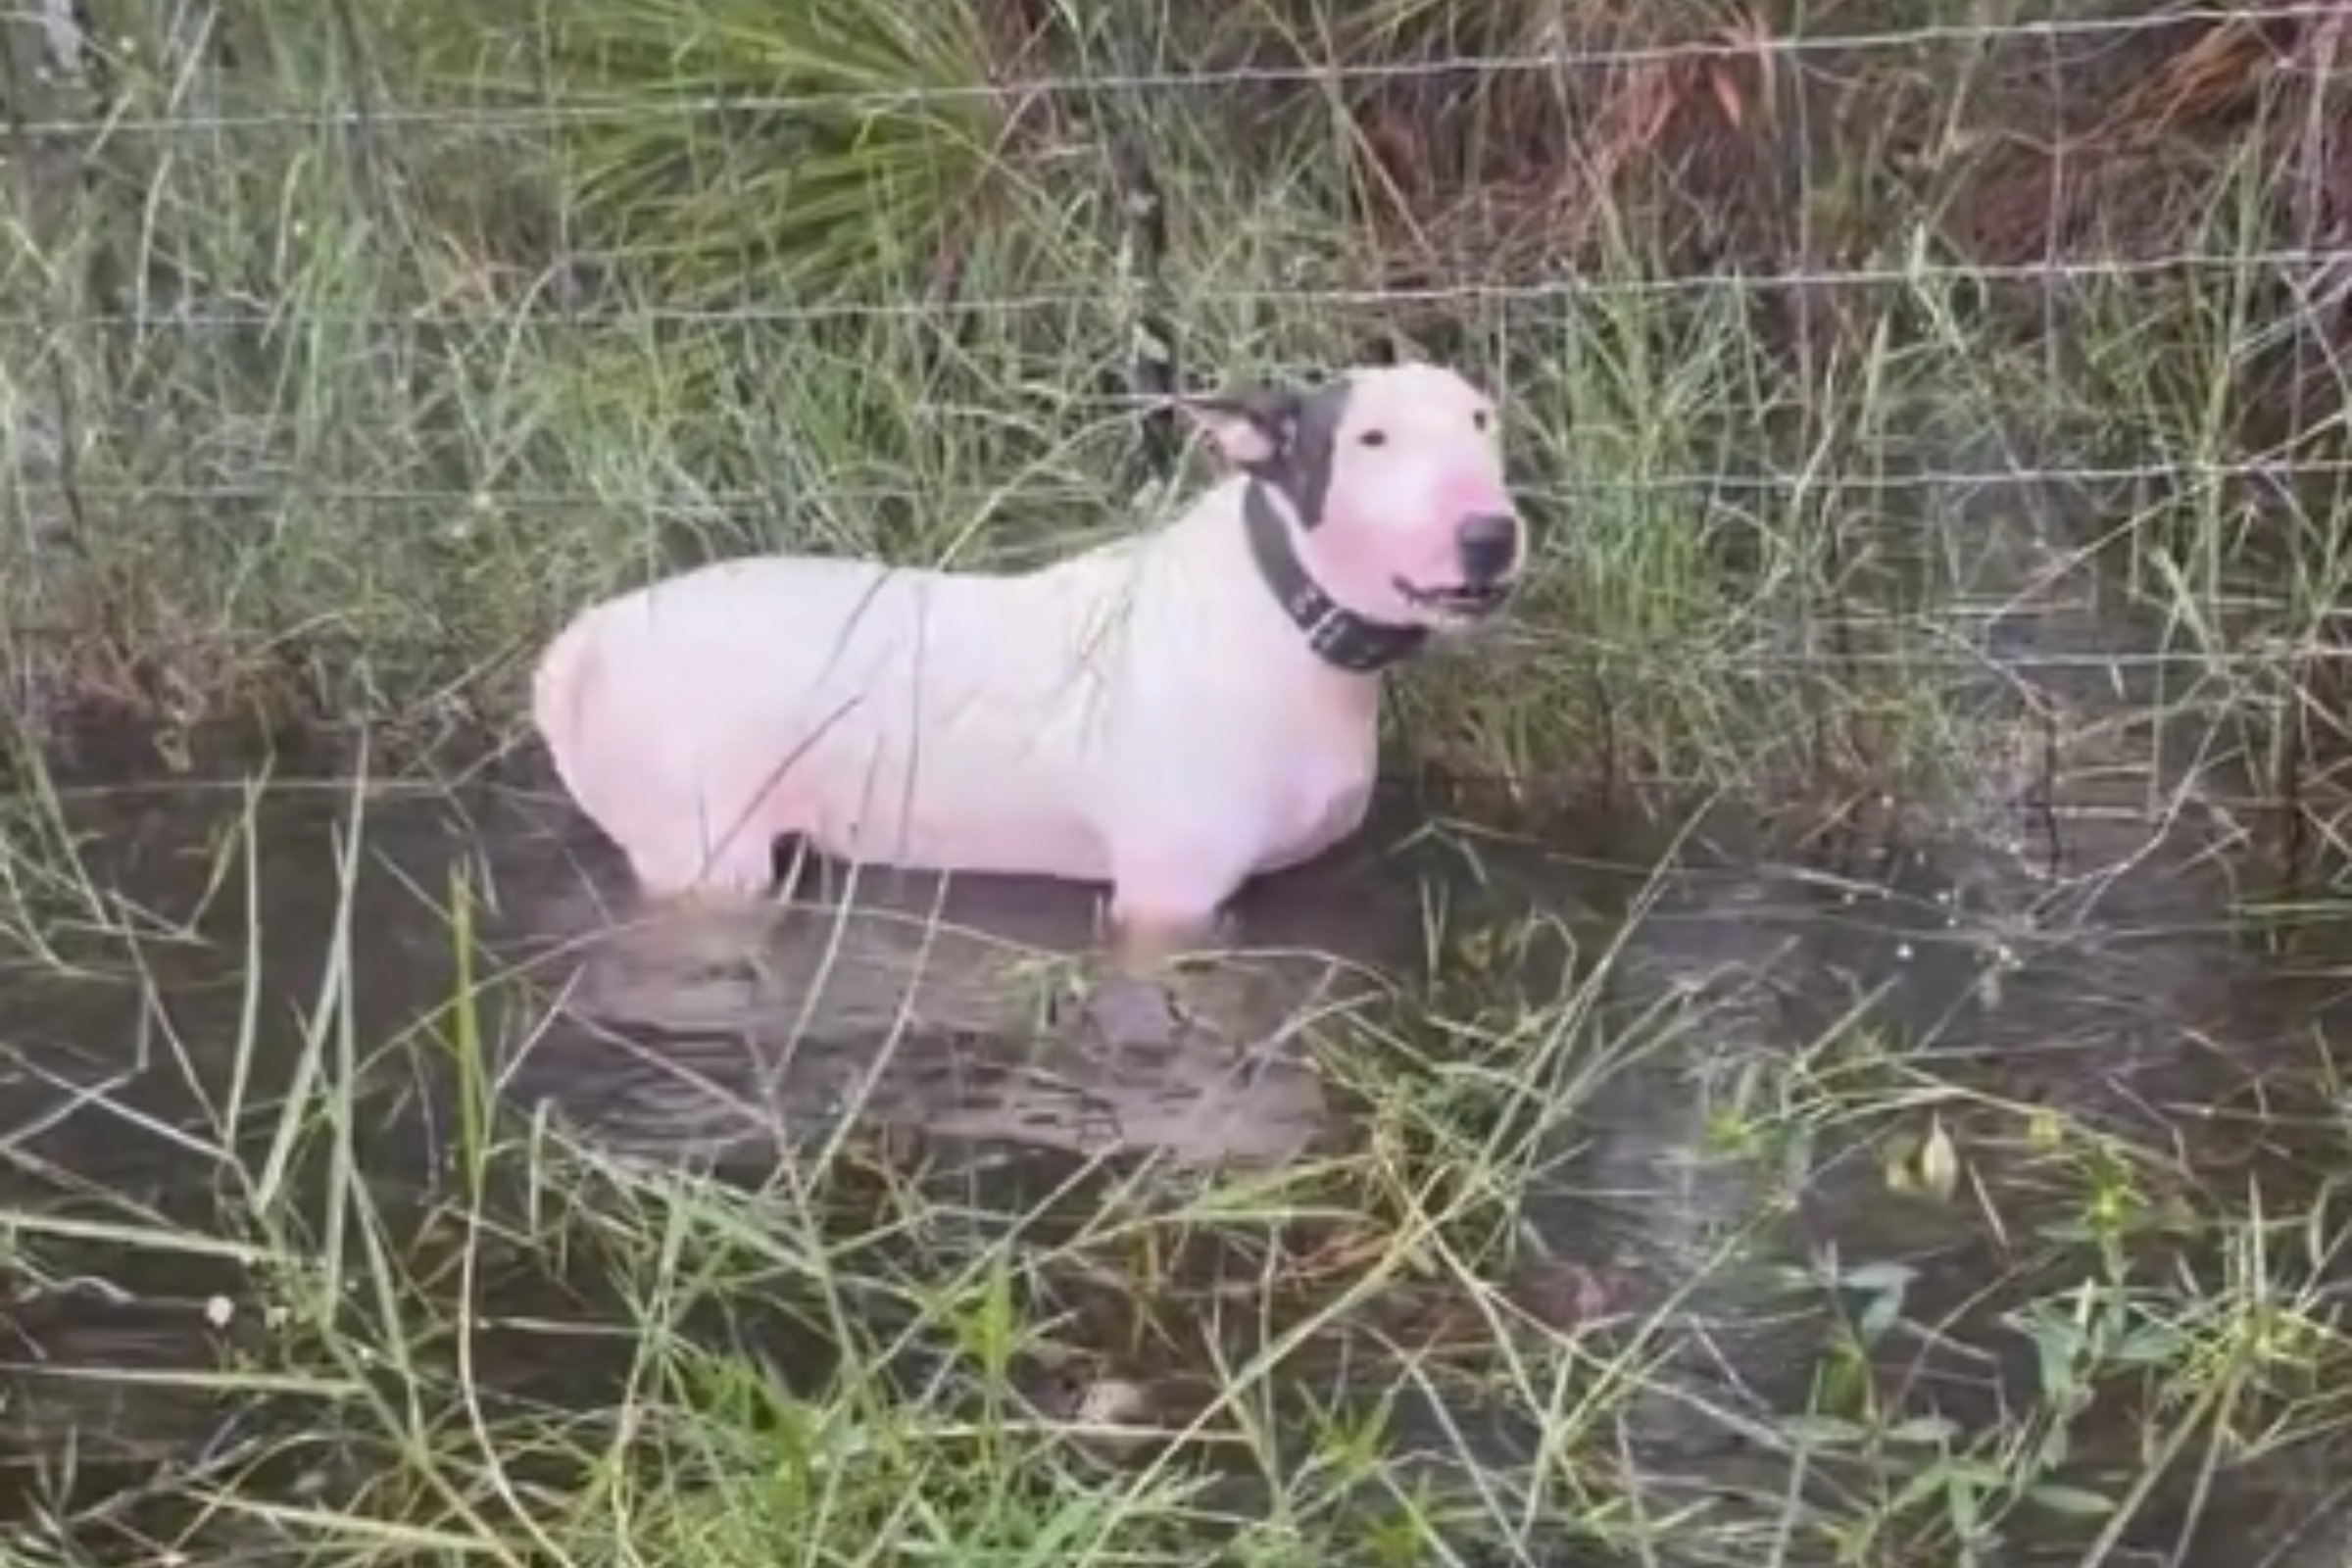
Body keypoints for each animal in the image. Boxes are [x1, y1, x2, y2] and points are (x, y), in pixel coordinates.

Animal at [531, 362, 1524, 1048]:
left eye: (1482, 419)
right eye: (1370, 439)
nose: (1492, 534)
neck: (1286, 615)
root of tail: (584, 640)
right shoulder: (1167, 904)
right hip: (706, 859)